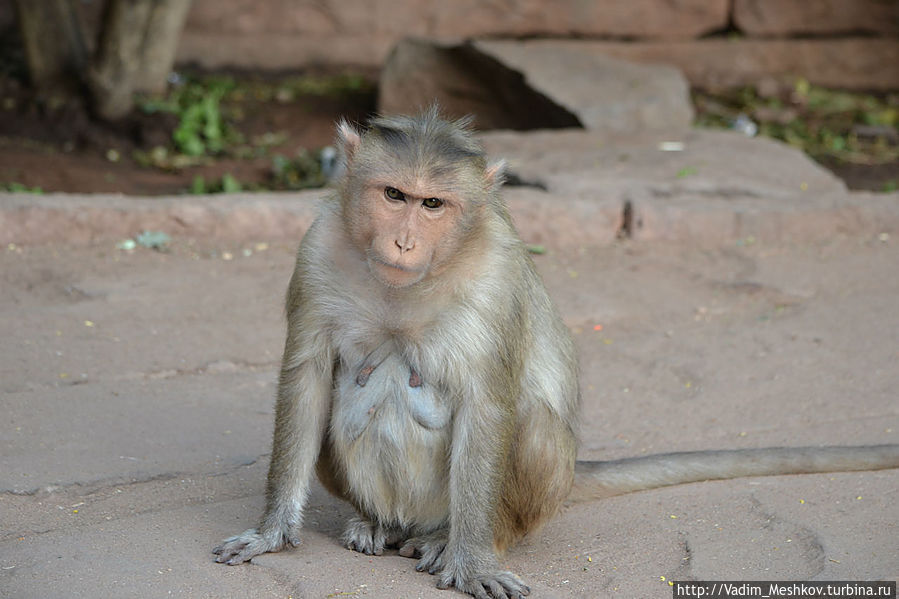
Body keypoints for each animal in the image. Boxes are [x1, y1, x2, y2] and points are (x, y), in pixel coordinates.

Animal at [216, 109, 899, 599]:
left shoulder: (495, 278)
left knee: (532, 424)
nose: (404, 241)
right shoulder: (315, 250)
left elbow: (489, 406)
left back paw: (451, 539)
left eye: (432, 204)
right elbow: (307, 377)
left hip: (533, 492)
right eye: (393, 195)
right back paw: (375, 521)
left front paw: (471, 562)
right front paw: (273, 532)